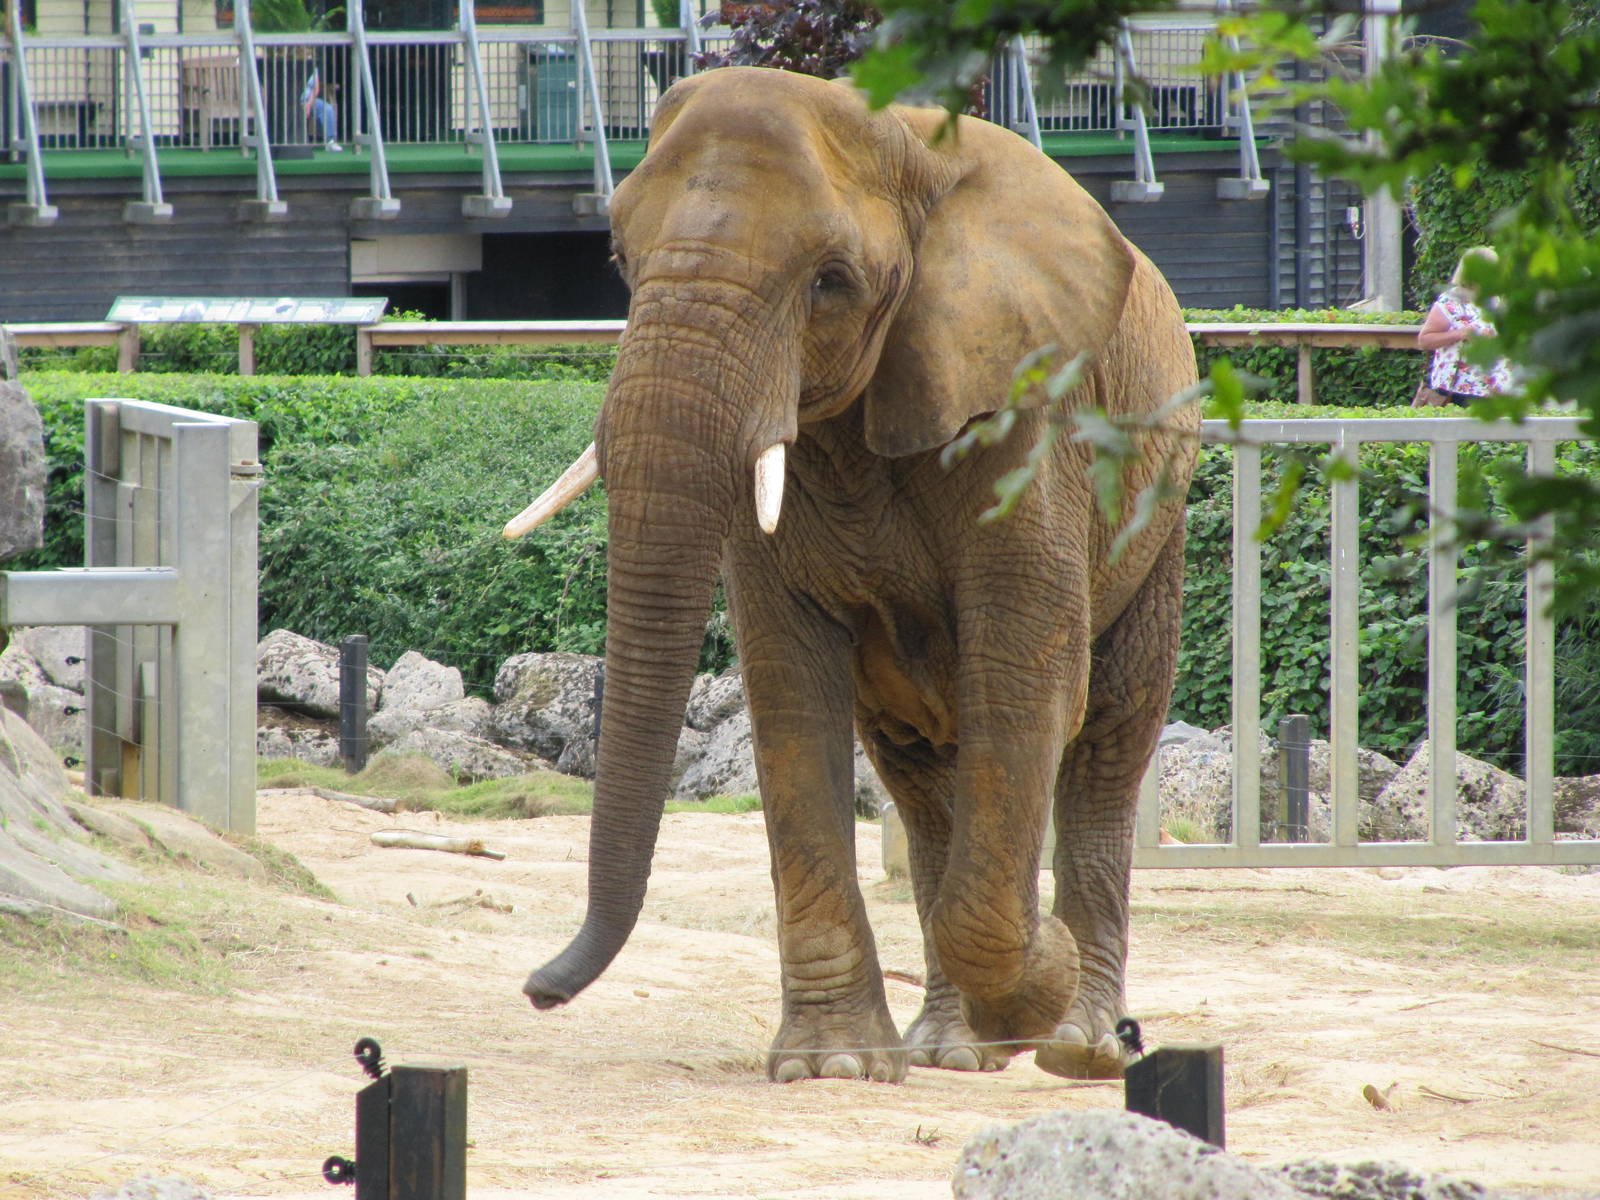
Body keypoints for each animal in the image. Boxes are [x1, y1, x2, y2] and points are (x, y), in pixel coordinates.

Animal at [506, 66, 1199, 1084]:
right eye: (622, 260)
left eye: (830, 282)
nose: (538, 989)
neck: (906, 147)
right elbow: (790, 686)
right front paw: (831, 1065)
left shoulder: (1029, 414)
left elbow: (1027, 669)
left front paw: (1047, 973)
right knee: (918, 770)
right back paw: (958, 1049)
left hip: (1159, 512)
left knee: (1108, 738)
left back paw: (1079, 1046)